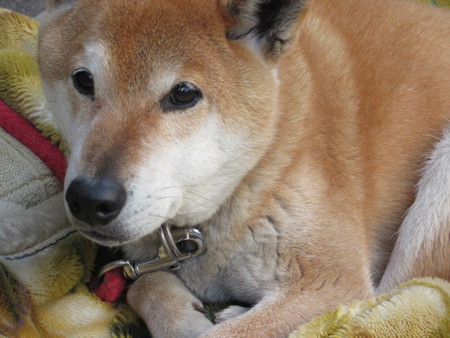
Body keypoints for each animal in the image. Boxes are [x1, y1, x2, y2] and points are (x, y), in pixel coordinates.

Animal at [38, 0, 450, 336]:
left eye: (183, 94)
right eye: (83, 80)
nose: (90, 199)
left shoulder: (330, 281)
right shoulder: (144, 260)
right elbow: (142, 284)